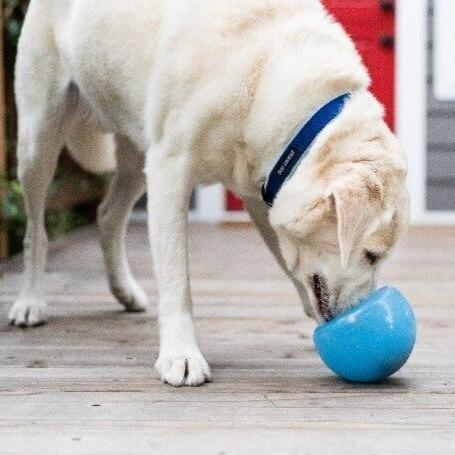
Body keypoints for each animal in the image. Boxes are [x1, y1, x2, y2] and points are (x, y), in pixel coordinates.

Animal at [9, 0, 410, 384]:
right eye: (372, 255)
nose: (364, 310)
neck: (262, 73)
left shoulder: (261, 192)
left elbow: (292, 266)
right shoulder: (170, 170)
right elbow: (177, 280)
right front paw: (181, 356)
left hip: (138, 156)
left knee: (108, 216)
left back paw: (125, 291)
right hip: (39, 139)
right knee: (35, 230)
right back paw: (30, 301)